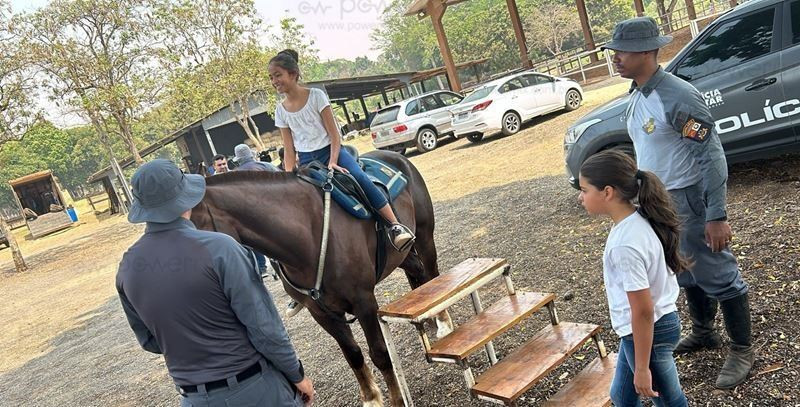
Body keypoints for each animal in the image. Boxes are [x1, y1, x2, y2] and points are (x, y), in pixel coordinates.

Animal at [188, 151, 450, 406]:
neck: (307, 235)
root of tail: (397, 157)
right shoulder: (321, 312)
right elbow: (353, 355)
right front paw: (371, 399)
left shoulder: (364, 302)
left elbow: (380, 354)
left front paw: (395, 400)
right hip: (401, 256)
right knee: (418, 273)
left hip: (424, 236)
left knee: (432, 272)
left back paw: (442, 323)